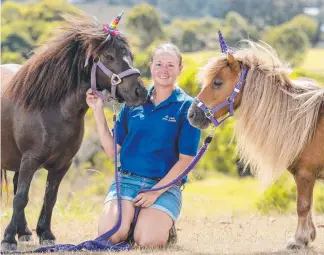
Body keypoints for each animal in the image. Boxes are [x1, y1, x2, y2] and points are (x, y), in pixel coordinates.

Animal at [0, 12, 147, 250]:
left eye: (130, 56)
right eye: (109, 57)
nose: (140, 92)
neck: (52, 109)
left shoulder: (62, 164)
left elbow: (50, 198)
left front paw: (45, 234)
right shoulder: (30, 160)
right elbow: (22, 198)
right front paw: (8, 239)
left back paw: (25, 232)